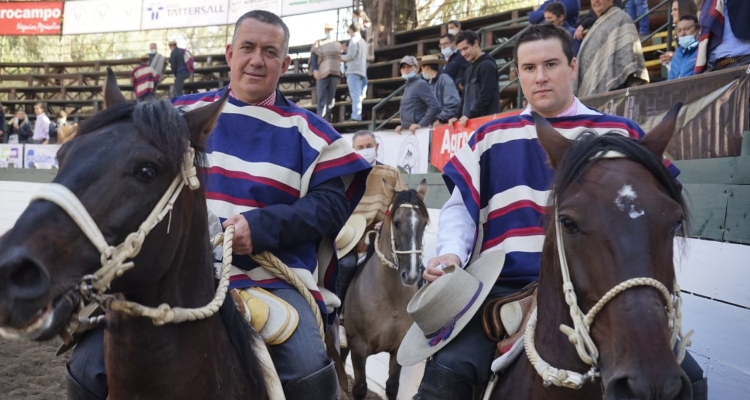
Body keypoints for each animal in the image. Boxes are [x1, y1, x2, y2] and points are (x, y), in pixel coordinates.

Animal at [346, 180, 432, 398]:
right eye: (397, 222)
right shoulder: (358, 348)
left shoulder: (398, 349)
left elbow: (392, 386)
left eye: (424, 224)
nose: (411, 275)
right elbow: (359, 388)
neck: (390, 299)